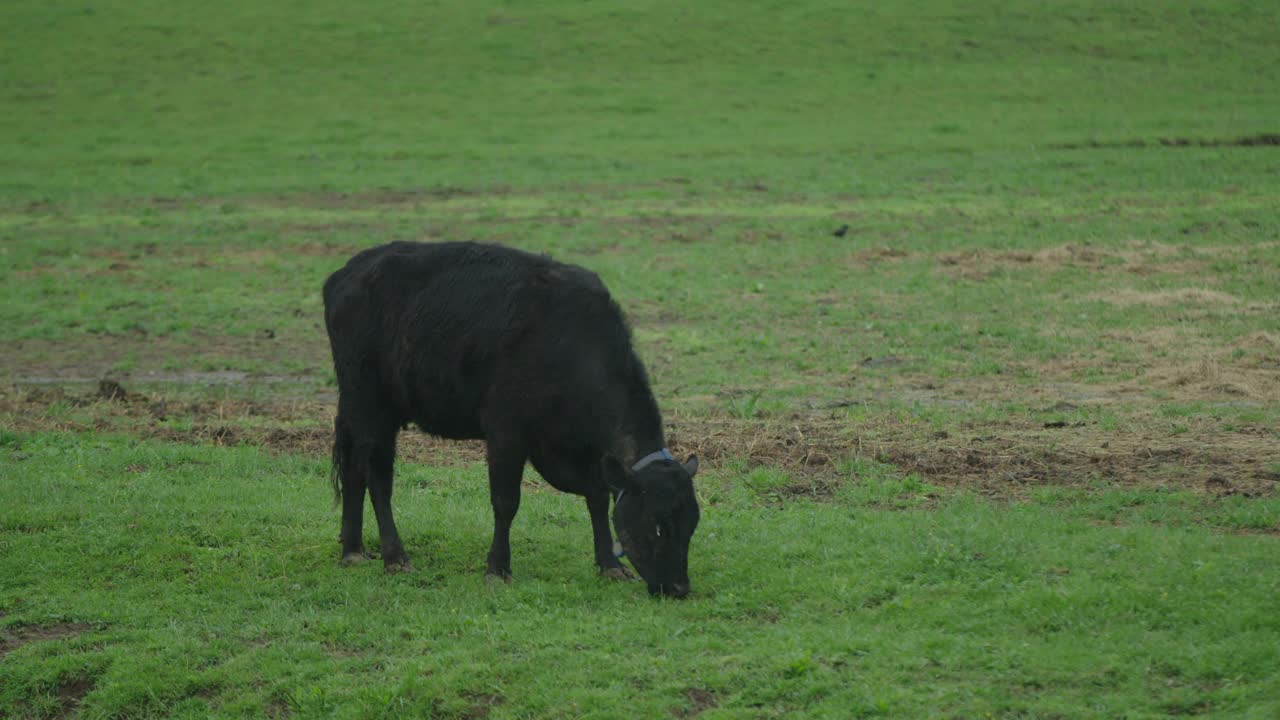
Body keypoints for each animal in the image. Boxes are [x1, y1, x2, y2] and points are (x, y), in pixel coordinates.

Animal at [320, 239, 701, 594]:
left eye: (692, 524)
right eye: (657, 525)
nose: (679, 588)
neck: (569, 343)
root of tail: (350, 270)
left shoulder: (583, 451)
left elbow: (597, 497)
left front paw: (609, 563)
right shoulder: (506, 433)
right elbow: (506, 502)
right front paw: (498, 568)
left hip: (357, 406)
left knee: (353, 468)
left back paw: (353, 550)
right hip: (372, 406)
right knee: (378, 478)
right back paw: (395, 557)